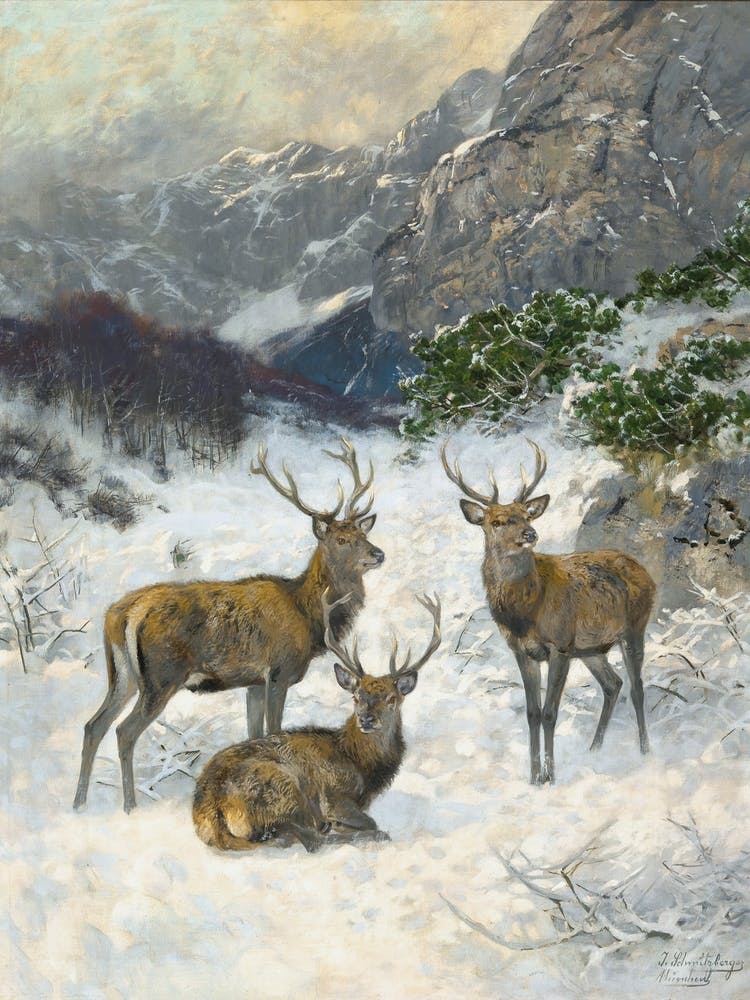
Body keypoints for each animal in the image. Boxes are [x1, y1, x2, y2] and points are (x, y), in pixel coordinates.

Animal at [73, 437, 384, 813]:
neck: (308, 618)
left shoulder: (253, 683)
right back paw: (130, 807)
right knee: (124, 732)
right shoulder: (279, 673)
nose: (378, 554)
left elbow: (254, 736)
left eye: (360, 533)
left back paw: (78, 803)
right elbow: (274, 732)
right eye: (340, 539)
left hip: (123, 676)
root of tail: (121, 613)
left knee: (94, 725)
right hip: (161, 676)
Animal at [192, 590, 441, 852]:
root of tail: (209, 810)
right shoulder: (334, 796)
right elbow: (368, 821)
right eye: (356, 696)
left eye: (391, 698)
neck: (360, 764)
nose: (366, 719)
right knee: (311, 839)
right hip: (282, 787)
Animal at [442, 439, 655, 785]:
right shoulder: (522, 650)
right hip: (592, 648)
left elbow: (550, 713)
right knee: (613, 685)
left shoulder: (560, 644)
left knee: (637, 688)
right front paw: (532, 778)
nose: (530, 534)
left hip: (635, 626)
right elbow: (532, 713)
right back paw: (594, 750)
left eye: (527, 517)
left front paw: (550, 777)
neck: (525, 612)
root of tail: (644, 570)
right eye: (496, 522)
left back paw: (645, 751)